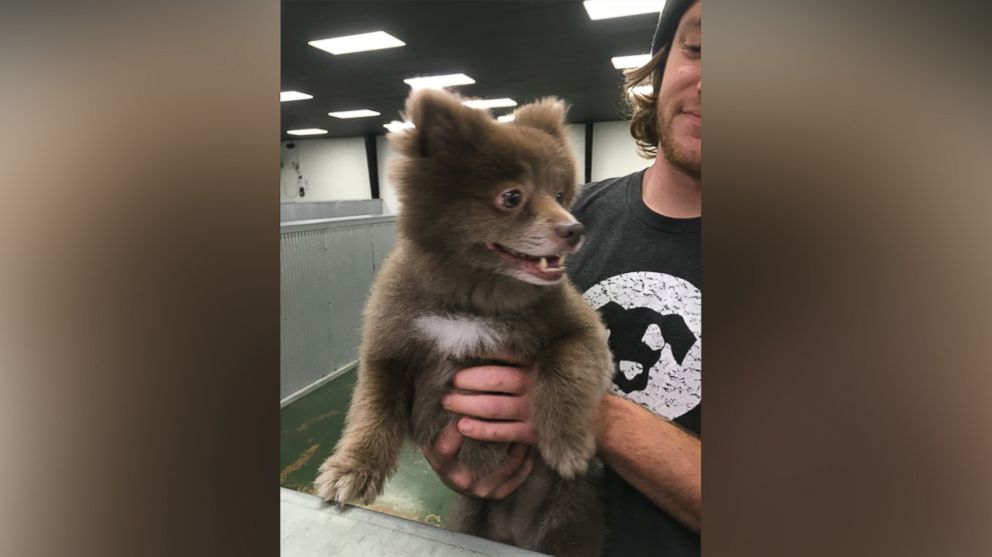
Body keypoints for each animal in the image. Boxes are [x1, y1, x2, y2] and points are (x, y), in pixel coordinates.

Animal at [316, 89, 612, 552]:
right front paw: (351, 469)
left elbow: (567, 368)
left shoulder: (581, 328)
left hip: (569, 521)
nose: (574, 229)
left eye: (561, 195)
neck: (472, 301)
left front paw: (566, 441)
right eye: (512, 197)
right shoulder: (387, 347)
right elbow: (373, 412)